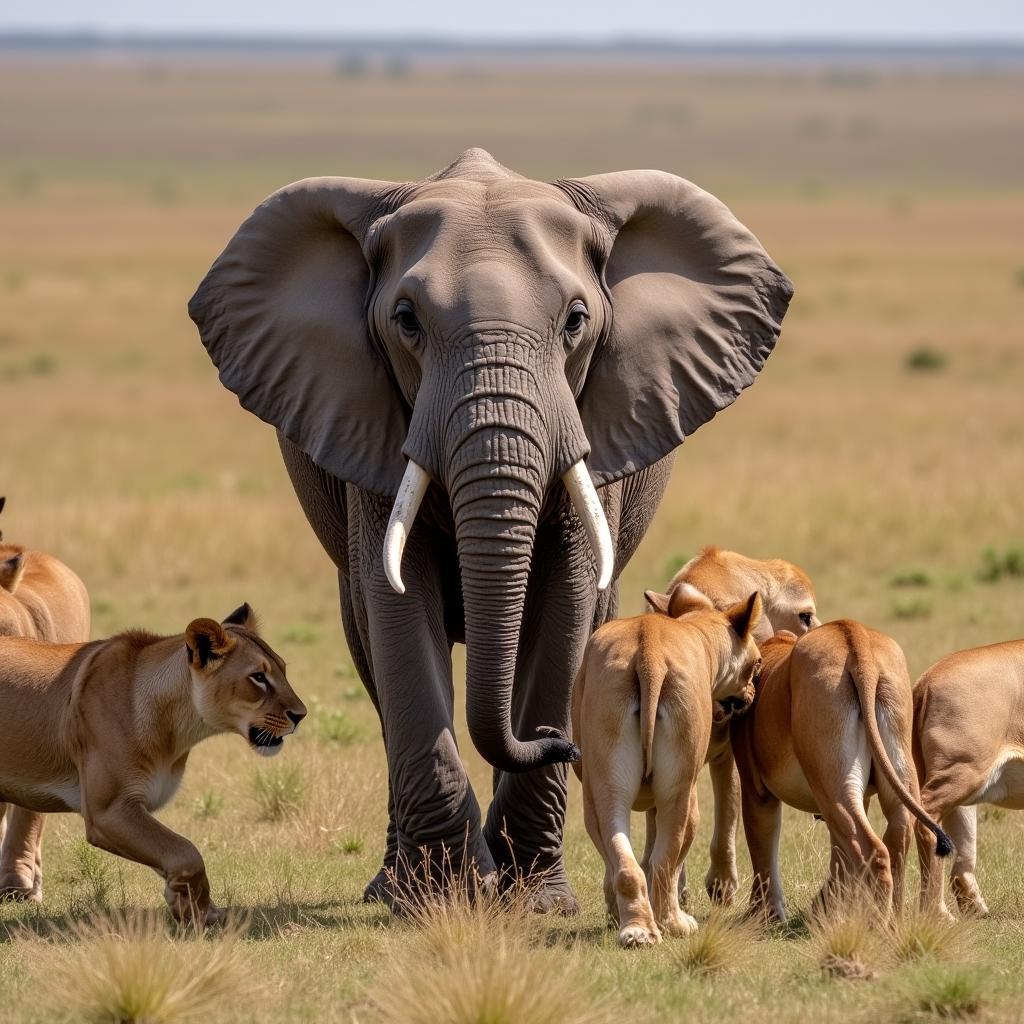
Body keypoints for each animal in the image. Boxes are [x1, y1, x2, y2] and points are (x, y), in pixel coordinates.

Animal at [188, 148, 786, 909]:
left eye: (576, 321)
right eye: (405, 320)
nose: (566, 744)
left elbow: (566, 603)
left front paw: (533, 901)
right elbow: (397, 606)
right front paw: (441, 898)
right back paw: (392, 887)